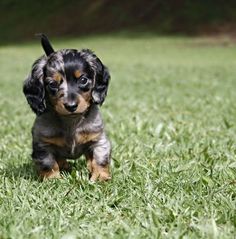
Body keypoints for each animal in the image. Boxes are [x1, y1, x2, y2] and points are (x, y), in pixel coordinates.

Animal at [22, 34, 111, 181]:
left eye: (83, 80)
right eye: (52, 84)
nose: (71, 106)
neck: (71, 121)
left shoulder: (98, 139)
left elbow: (100, 158)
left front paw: (99, 177)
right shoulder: (42, 144)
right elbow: (48, 163)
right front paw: (53, 180)